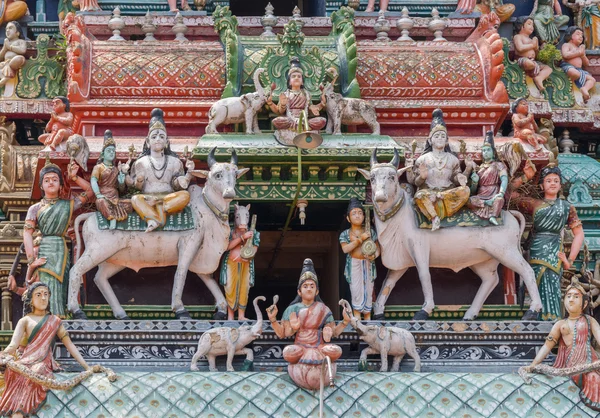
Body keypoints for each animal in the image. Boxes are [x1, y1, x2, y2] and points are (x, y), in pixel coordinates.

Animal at [68, 148, 248, 320]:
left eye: (235, 174)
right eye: (217, 175)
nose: (229, 193)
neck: (206, 211)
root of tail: (89, 216)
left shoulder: (201, 255)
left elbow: (208, 279)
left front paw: (221, 310)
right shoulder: (189, 244)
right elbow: (181, 274)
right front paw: (180, 309)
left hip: (115, 258)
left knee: (100, 278)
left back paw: (121, 313)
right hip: (98, 250)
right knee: (75, 271)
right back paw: (77, 311)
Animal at [360, 149, 544, 322]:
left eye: (392, 177)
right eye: (372, 178)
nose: (380, 197)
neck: (403, 217)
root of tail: (510, 214)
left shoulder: (419, 249)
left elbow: (424, 276)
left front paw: (424, 310)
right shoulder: (400, 260)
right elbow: (388, 283)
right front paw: (378, 312)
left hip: (506, 251)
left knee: (527, 271)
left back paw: (532, 311)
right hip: (484, 259)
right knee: (491, 280)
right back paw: (469, 314)